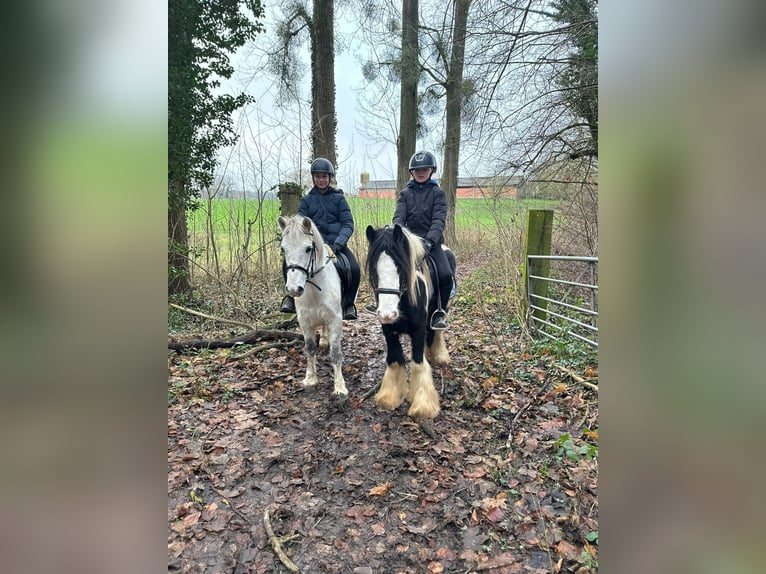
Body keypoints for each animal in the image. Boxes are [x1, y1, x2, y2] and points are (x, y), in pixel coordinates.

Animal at [280, 214, 348, 398]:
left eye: (308, 248)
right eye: (283, 249)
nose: (294, 289)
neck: (314, 290)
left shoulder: (335, 320)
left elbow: (335, 353)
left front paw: (339, 387)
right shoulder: (305, 323)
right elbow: (310, 348)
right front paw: (311, 379)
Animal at [366, 225, 456, 424]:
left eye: (400, 267)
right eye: (374, 268)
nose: (387, 313)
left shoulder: (419, 328)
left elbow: (418, 362)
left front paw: (423, 405)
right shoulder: (388, 330)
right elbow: (394, 360)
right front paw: (390, 396)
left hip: (442, 308)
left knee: (437, 332)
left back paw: (440, 355)